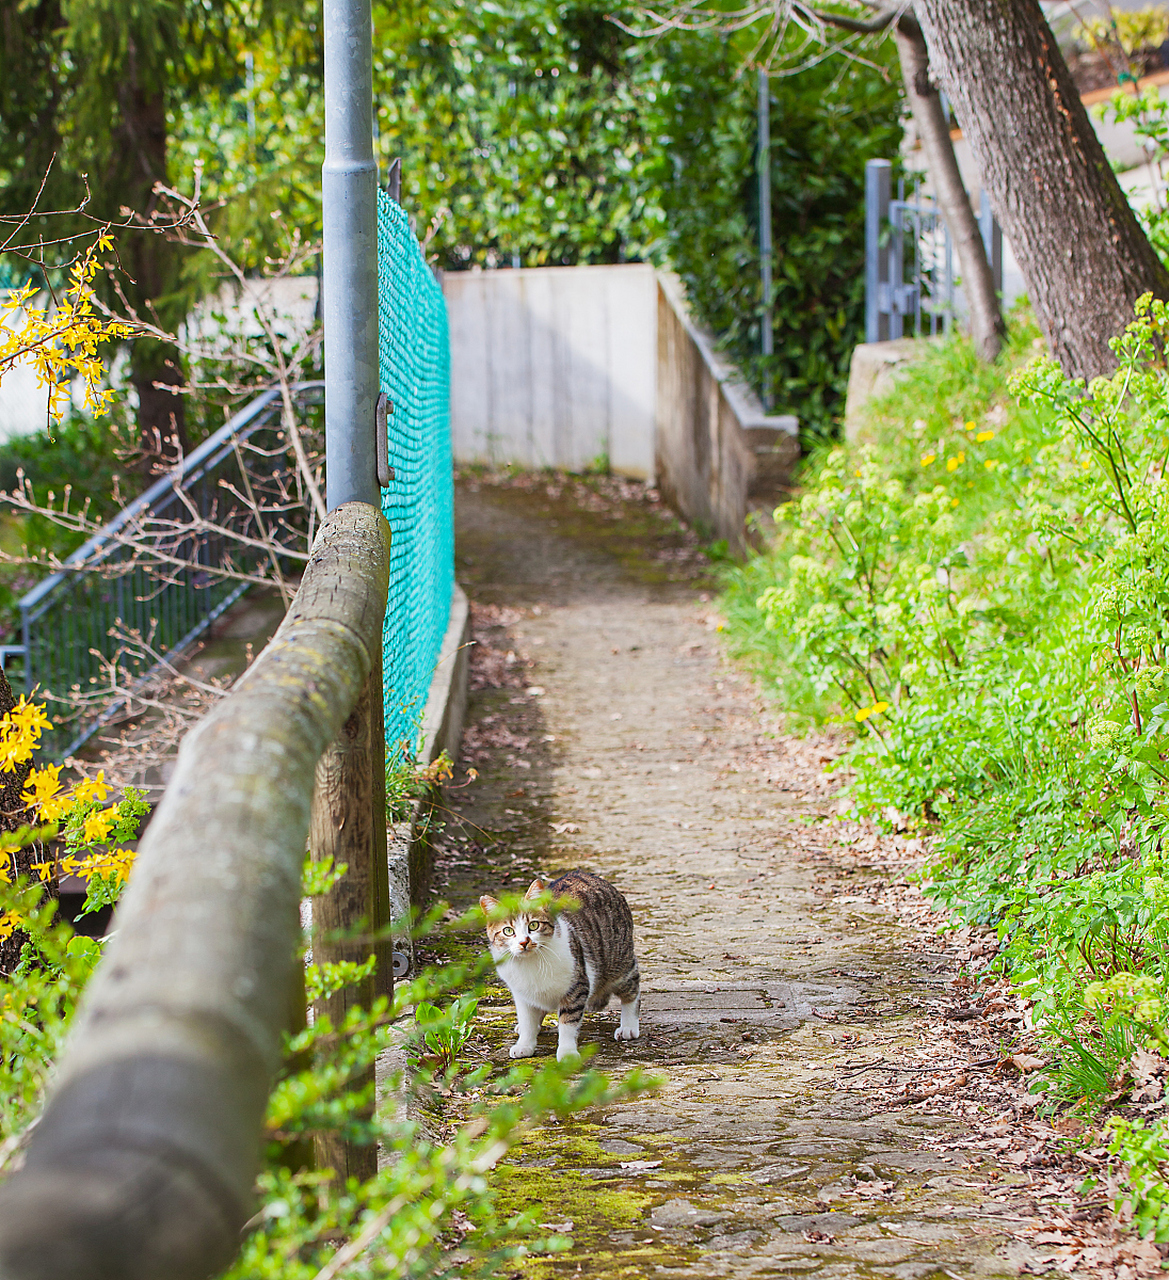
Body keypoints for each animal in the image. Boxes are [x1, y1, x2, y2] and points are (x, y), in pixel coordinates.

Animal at [476, 865, 637, 1064]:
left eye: (533, 925)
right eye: (508, 931)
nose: (524, 942)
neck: (531, 963)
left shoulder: (576, 986)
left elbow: (568, 1022)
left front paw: (567, 1051)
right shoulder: (521, 993)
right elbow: (527, 1020)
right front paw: (525, 1044)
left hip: (618, 960)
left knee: (632, 986)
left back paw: (629, 1025)